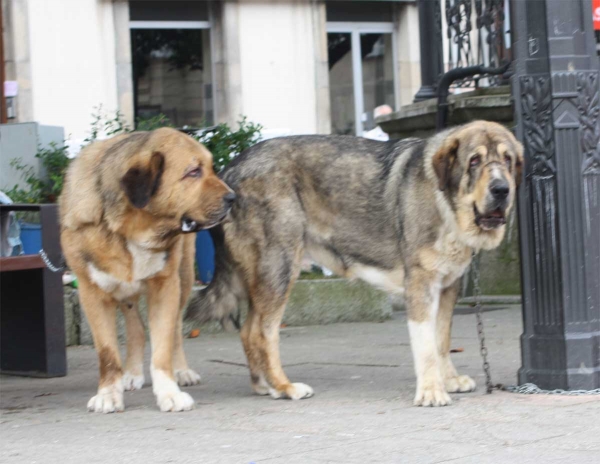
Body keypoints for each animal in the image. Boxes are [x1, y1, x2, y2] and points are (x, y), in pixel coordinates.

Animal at [58, 128, 232, 414]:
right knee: (136, 327)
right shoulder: (92, 293)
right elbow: (107, 353)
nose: (234, 198)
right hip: (124, 291)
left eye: (211, 168)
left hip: (184, 278)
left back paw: (181, 371)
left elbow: (162, 348)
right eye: (193, 171)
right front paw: (109, 393)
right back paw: (131, 373)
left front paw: (169, 393)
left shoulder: (165, 286)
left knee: (175, 330)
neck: (131, 229)